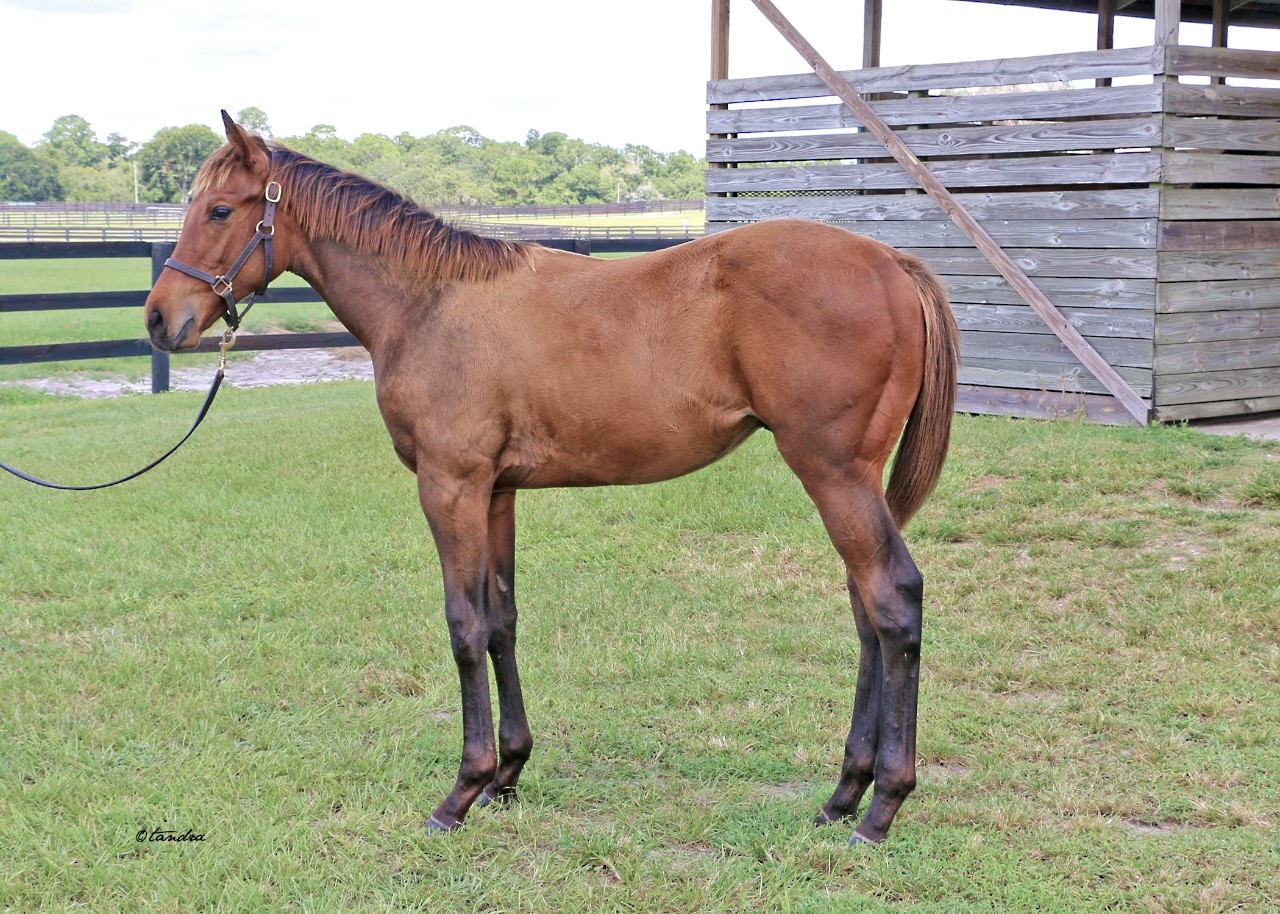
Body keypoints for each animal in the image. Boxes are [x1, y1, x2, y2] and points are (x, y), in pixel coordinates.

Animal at [145, 112, 957, 839]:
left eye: (221, 209)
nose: (158, 320)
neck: (430, 303)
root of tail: (890, 263)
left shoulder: (450, 487)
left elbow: (464, 626)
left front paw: (461, 791)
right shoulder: (496, 493)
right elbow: (501, 621)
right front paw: (507, 772)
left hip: (833, 474)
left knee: (894, 602)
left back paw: (881, 807)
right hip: (849, 483)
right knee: (867, 613)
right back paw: (843, 795)